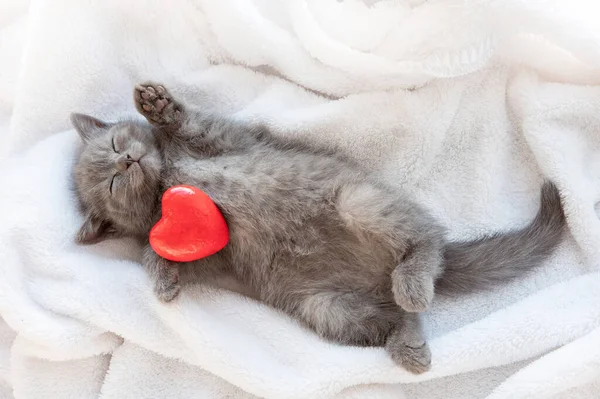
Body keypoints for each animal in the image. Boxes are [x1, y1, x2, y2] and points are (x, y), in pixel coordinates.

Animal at [70, 82, 568, 376]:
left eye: (115, 143)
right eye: (112, 181)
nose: (128, 160)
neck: (167, 182)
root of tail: (384, 279)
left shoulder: (224, 140)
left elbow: (189, 121)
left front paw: (156, 104)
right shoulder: (215, 252)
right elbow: (162, 251)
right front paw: (163, 281)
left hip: (358, 200)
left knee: (425, 241)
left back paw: (412, 282)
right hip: (328, 309)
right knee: (397, 315)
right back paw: (408, 343)